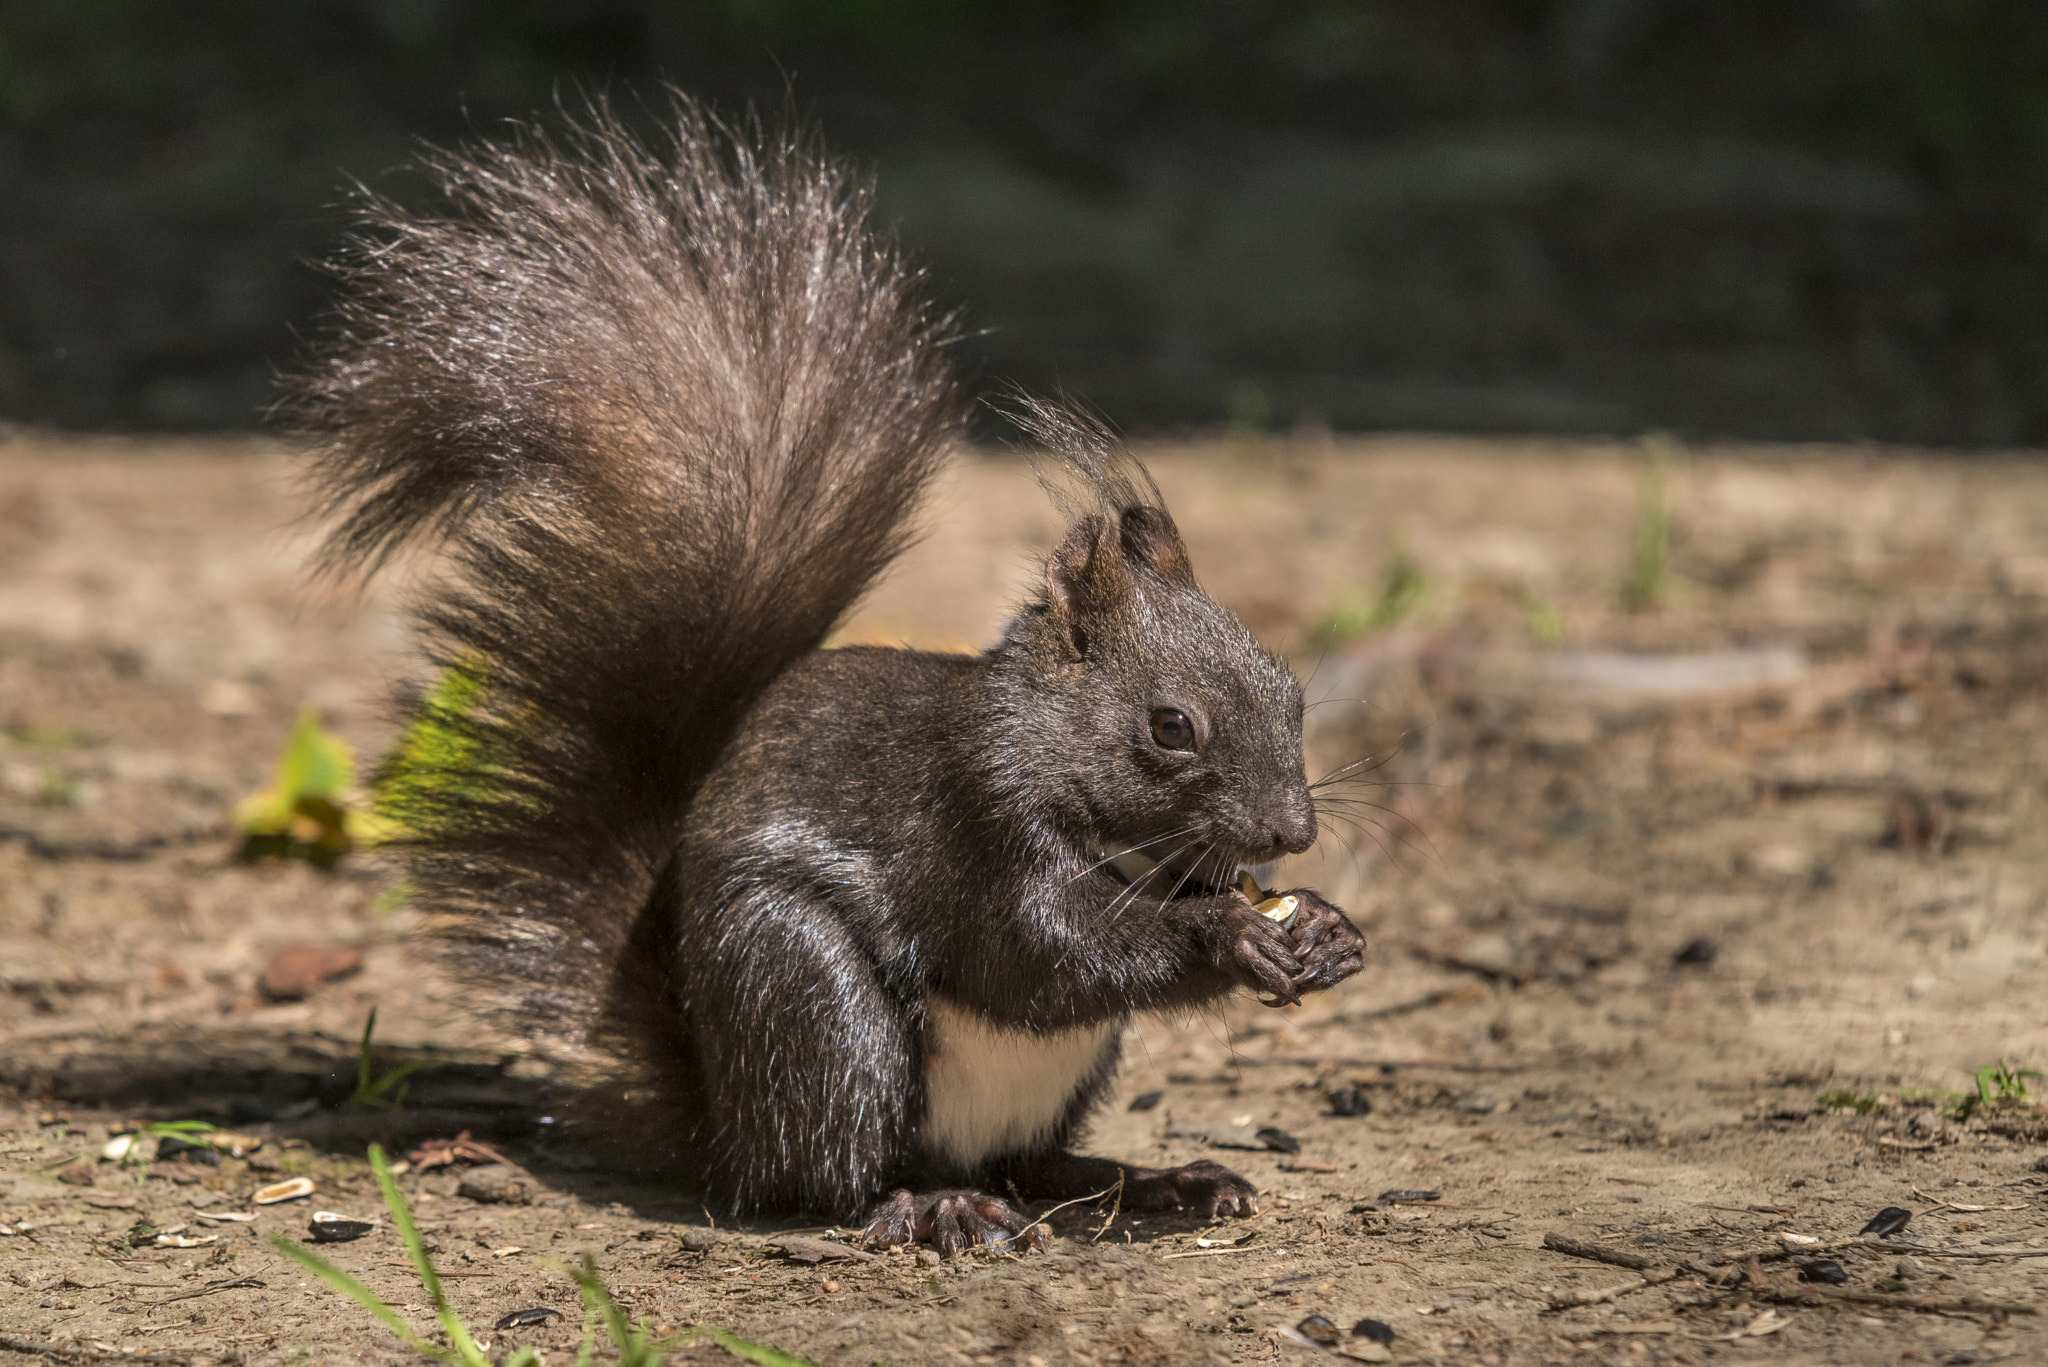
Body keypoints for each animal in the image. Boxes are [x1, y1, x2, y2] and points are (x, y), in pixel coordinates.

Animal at [292, 93, 1359, 1254]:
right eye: (1171, 726)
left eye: (1290, 691)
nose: (1292, 831)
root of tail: (723, 1121)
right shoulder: (971, 821)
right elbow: (1047, 953)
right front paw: (1228, 933)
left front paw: (1321, 928)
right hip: (812, 997)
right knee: (829, 1174)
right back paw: (927, 1204)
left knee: (1033, 1163)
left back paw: (1157, 1178)